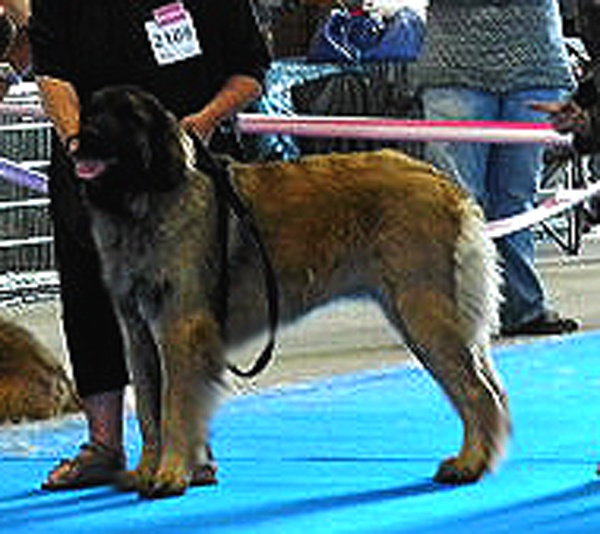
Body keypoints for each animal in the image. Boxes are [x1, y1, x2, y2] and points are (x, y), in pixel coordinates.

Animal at [72, 85, 510, 498]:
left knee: (477, 391)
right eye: (91, 112)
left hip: (423, 311)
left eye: (127, 117)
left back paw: (469, 465)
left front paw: (170, 475)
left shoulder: (181, 325)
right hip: (418, 315)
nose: (81, 140)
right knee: (488, 388)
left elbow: (175, 407)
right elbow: (148, 410)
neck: (144, 199)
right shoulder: (138, 334)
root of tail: (446, 185)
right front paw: (147, 472)